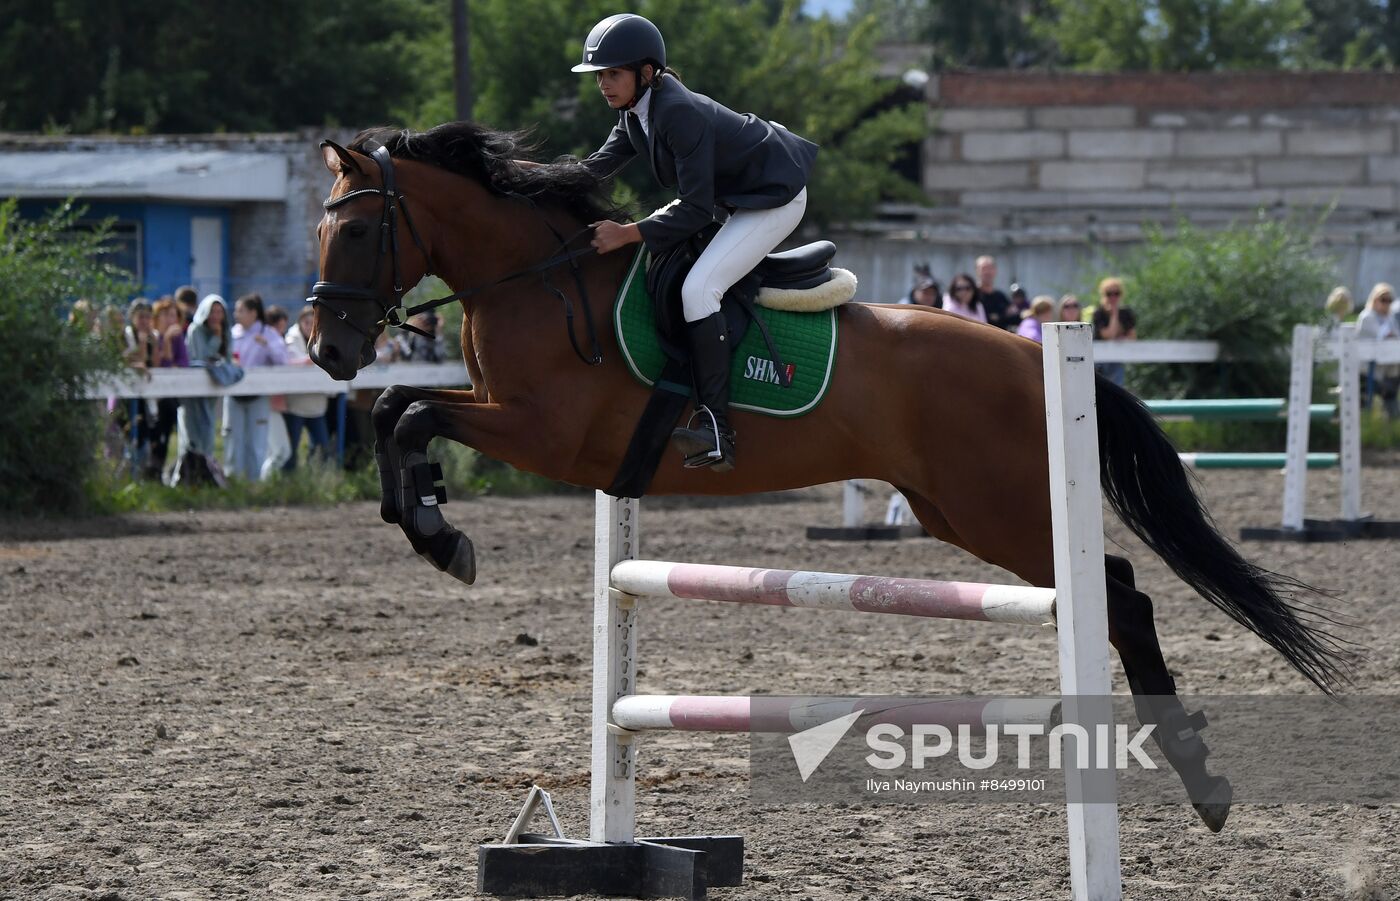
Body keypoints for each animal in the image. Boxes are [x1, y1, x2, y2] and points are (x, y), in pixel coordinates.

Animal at [306, 123, 1344, 833]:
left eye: (354, 234)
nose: (325, 349)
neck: (534, 276)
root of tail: (1027, 350)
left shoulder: (548, 436)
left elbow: (411, 412)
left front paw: (442, 534)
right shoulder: (513, 418)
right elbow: (395, 408)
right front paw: (425, 515)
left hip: (999, 510)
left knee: (1120, 594)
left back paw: (1200, 777)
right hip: (954, 510)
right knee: (1119, 591)